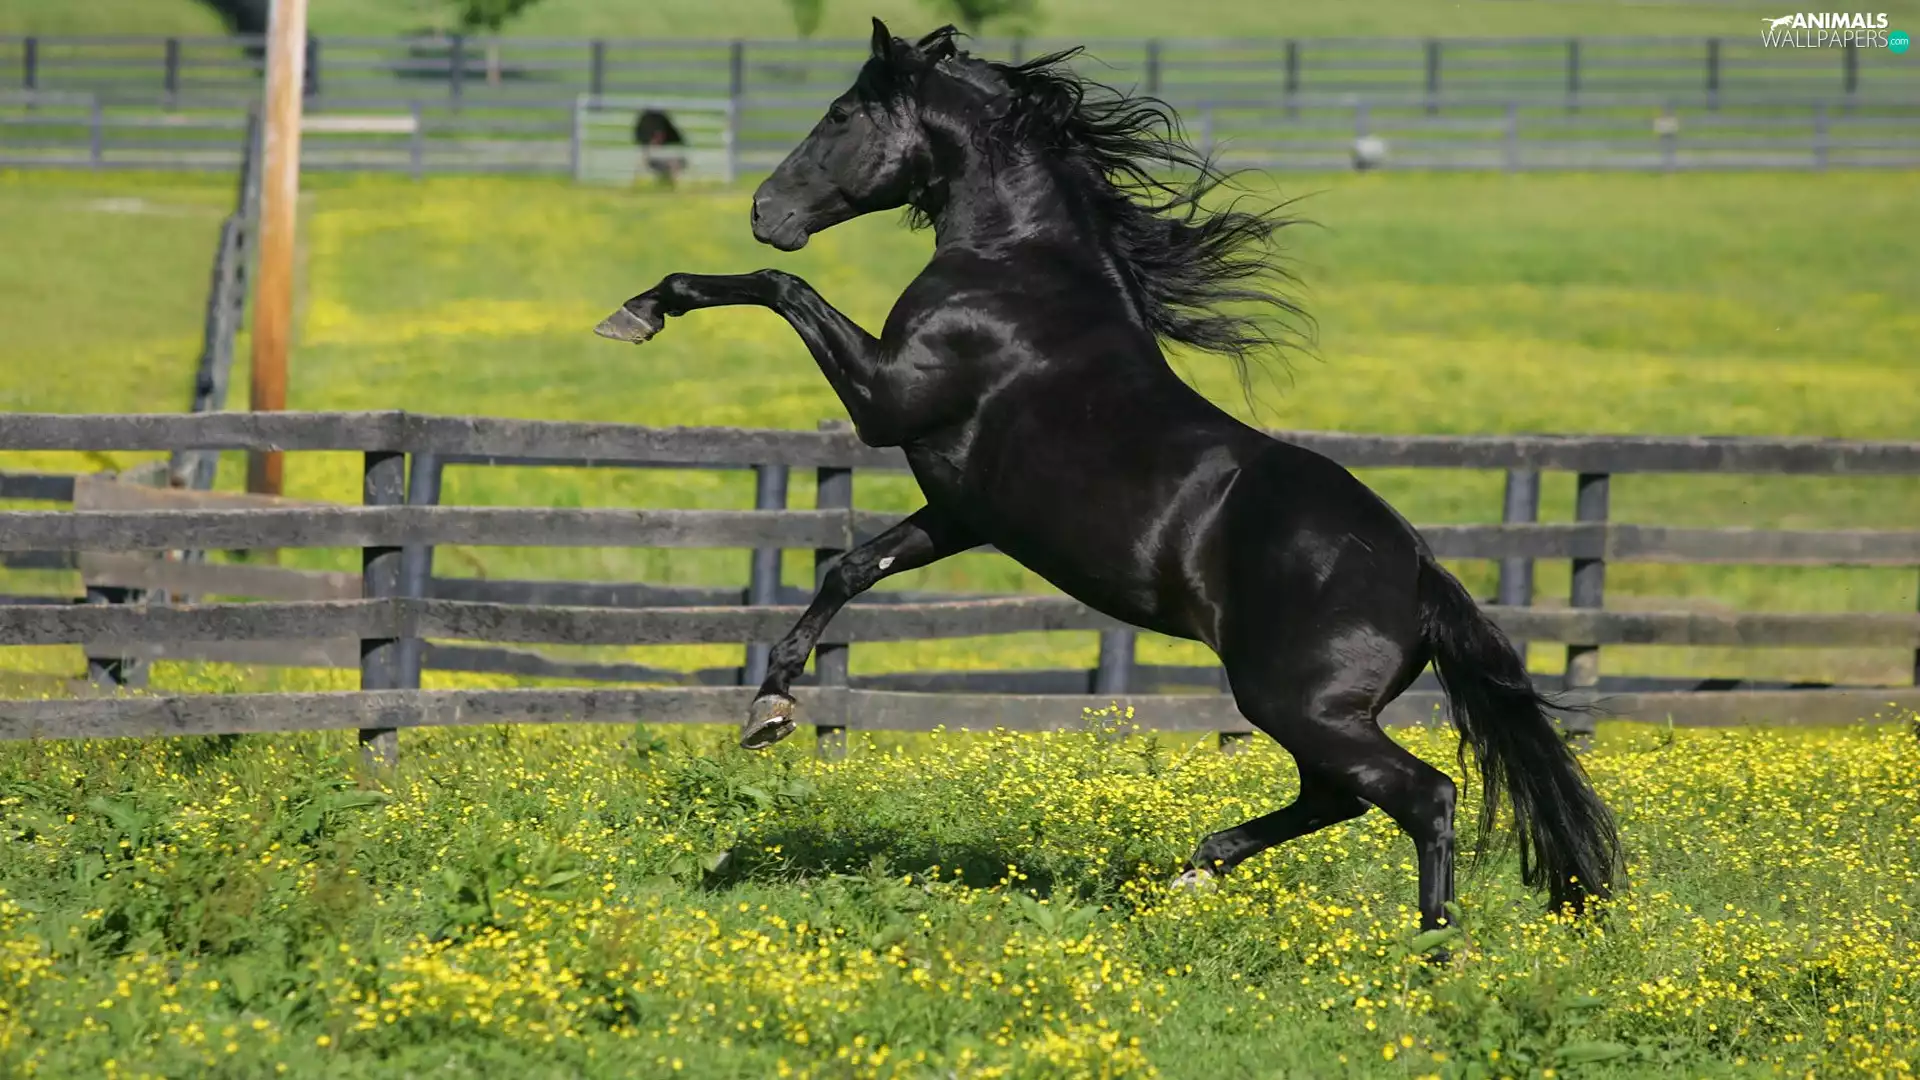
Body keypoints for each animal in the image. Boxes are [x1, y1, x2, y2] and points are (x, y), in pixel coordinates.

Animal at [594, 20, 1621, 932]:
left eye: (843, 112)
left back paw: (1432, 954)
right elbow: (850, 567)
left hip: (1298, 703)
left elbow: (781, 291)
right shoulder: (961, 510)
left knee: (1423, 795)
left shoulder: (886, 400)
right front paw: (769, 705)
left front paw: (641, 309)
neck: (1017, 270)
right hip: (1310, 712)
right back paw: (1200, 868)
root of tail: (1420, 574)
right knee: (1337, 798)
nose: (764, 211)